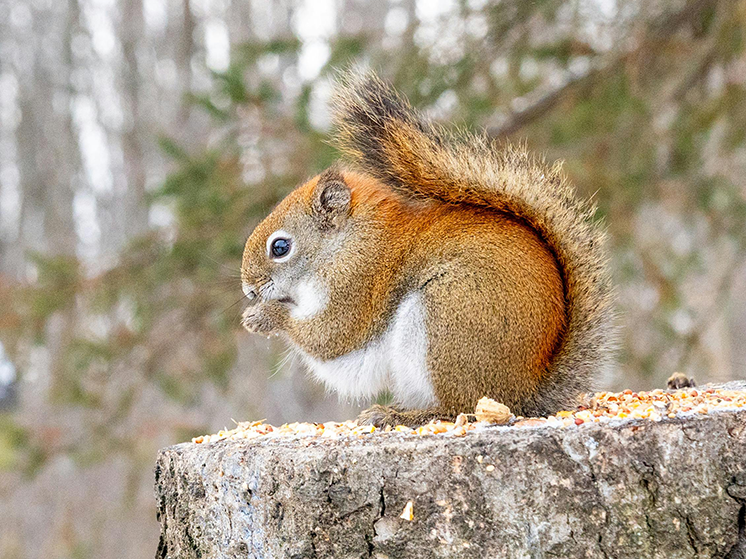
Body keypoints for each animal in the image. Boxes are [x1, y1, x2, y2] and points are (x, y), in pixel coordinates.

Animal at [241, 71, 612, 428]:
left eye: (280, 247)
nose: (248, 291)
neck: (344, 245)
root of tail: (525, 392)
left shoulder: (358, 282)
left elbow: (330, 335)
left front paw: (264, 316)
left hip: (447, 319)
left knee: (460, 407)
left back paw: (402, 416)